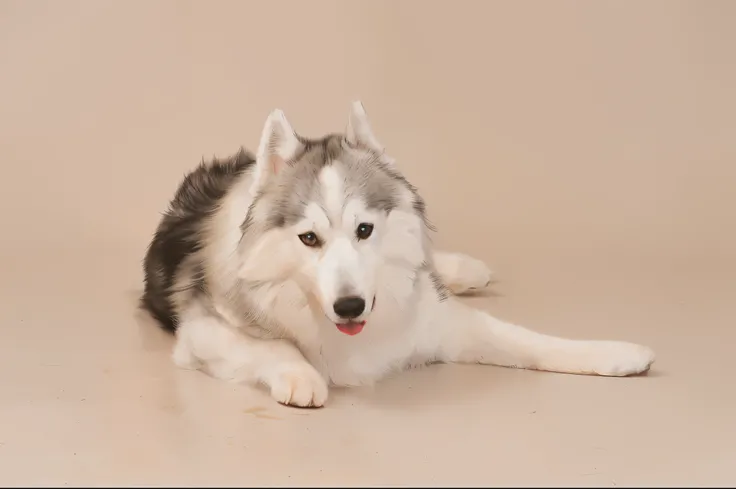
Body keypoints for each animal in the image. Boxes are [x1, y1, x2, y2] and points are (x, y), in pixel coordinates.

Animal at [142, 101, 656, 406]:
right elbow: (272, 345)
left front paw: (613, 353)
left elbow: (529, 340)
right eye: (309, 239)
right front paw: (301, 375)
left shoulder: (440, 321)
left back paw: (462, 269)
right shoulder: (201, 332)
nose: (350, 306)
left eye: (364, 230)